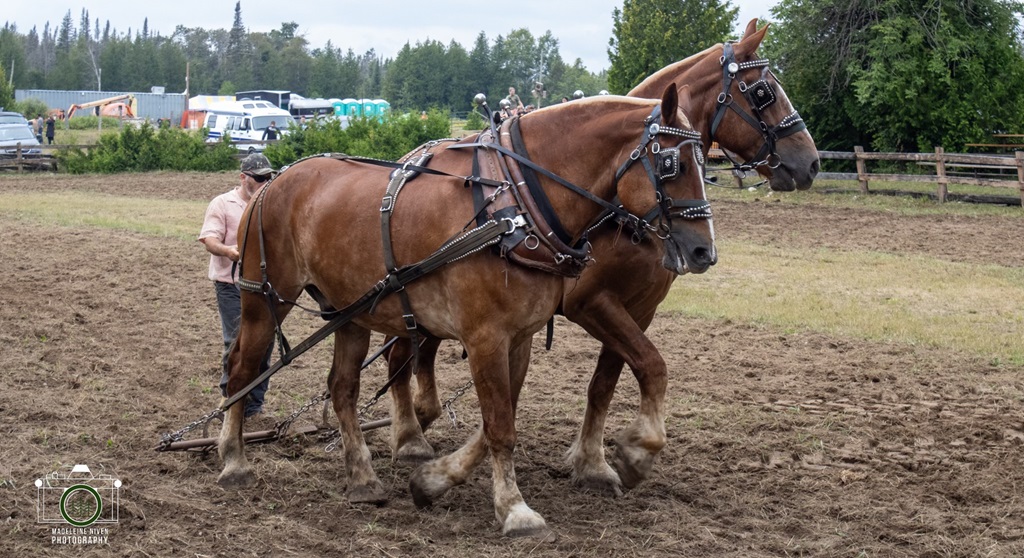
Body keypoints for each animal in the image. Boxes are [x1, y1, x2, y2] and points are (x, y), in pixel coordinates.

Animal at [217, 84, 716, 536]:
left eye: (706, 165)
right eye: (671, 163)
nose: (703, 251)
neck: (514, 206)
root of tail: (275, 180)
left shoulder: (519, 337)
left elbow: (500, 417)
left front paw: (432, 480)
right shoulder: (486, 337)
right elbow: (500, 426)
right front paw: (516, 509)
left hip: (351, 312)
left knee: (343, 388)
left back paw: (362, 478)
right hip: (265, 299)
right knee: (241, 369)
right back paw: (234, 462)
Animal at [384, 20, 820, 496]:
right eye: (763, 92)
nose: (812, 163)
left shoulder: (639, 308)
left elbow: (608, 382)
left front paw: (591, 461)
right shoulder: (590, 302)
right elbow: (650, 364)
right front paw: (633, 451)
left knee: (419, 354)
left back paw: (422, 418)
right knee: (399, 356)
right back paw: (409, 436)